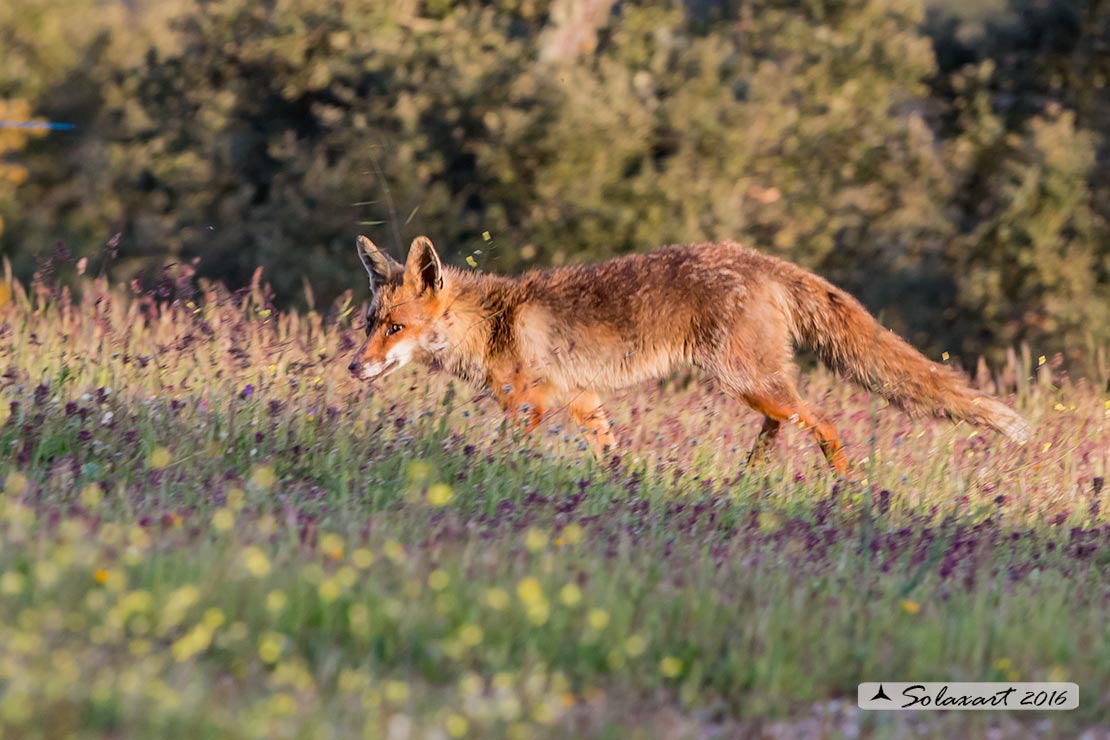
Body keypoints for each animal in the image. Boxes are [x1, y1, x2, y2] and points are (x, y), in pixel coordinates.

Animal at [348, 237, 1030, 477]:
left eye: (397, 328)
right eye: (369, 326)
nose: (353, 367)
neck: (492, 324)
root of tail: (759, 258)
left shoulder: (532, 404)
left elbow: (505, 449)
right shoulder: (583, 401)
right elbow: (610, 454)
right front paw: (625, 489)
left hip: (744, 378)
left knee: (823, 423)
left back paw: (847, 490)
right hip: (751, 383)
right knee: (782, 423)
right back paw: (747, 481)